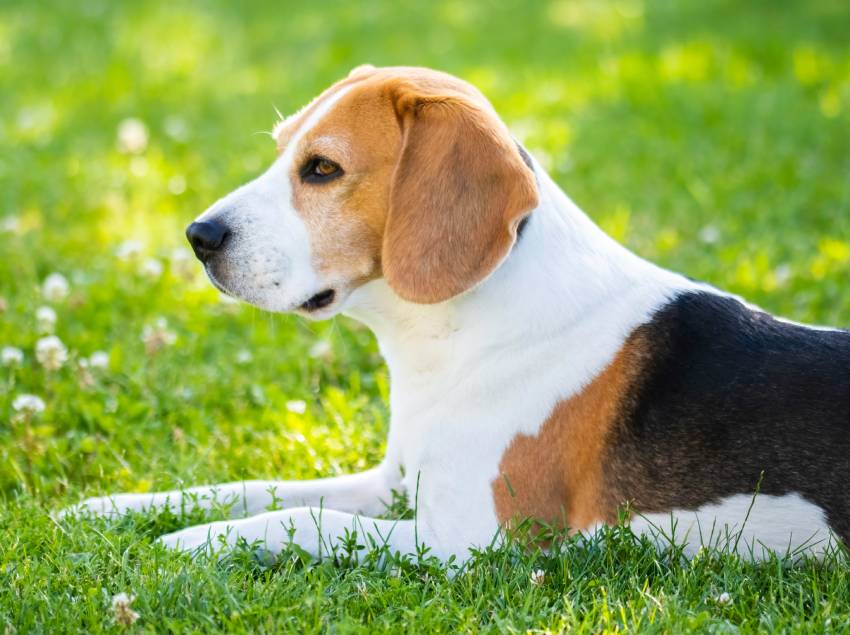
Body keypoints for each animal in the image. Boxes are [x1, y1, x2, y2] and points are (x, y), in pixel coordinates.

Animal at [69, 64, 848, 560]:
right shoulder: (390, 482)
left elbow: (298, 519)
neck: (454, 336)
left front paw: (186, 543)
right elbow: (253, 488)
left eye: (321, 169)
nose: (198, 237)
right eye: (282, 149)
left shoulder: (466, 539)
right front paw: (109, 509)